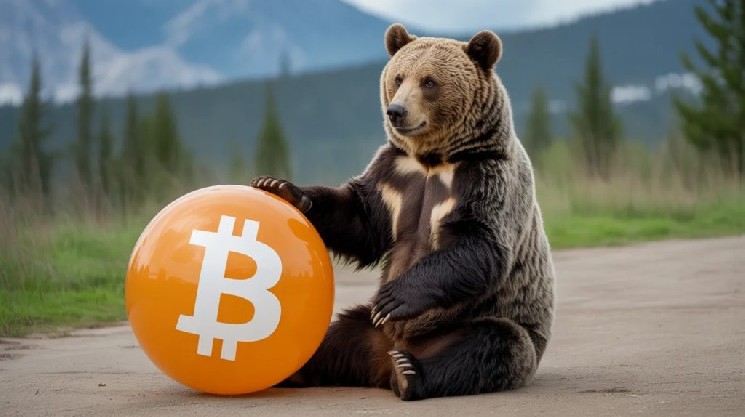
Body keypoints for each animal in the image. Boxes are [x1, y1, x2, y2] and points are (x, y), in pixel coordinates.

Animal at [251, 23, 555, 401]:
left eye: (429, 81)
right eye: (398, 77)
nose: (396, 111)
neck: (434, 161)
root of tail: (386, 353)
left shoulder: (484, 178)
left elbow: (481, 245)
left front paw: (394, 297)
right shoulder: (393, 176)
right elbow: (360, 220)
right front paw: (279, 187)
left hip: (474, 322)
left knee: (492, 343)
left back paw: (410, 373)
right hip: (365, 327)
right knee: (334, 336)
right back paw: (293, 366)